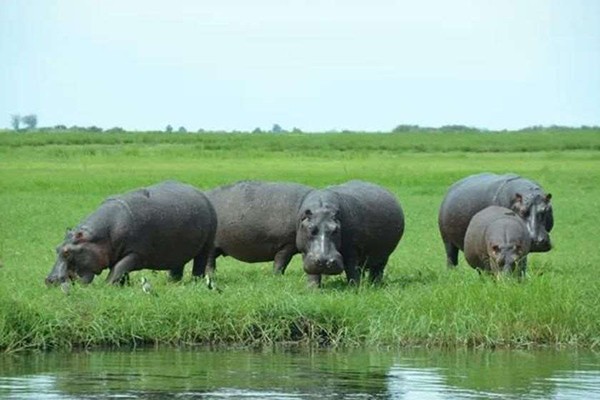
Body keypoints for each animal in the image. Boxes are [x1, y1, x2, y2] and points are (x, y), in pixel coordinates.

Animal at [45, 180, 218, 286]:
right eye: (57, 248)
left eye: (67, 252)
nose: (49, 280)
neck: (98, 237)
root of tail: (202, 194)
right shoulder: (117, 254)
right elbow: (121, 271)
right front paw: (123, 286)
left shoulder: (135, 253)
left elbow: (118, 269)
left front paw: (107, 286)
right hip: (178, 248)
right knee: (177, 266)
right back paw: (172, 283)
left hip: (206, 245)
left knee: (199, 263)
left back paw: (195, 281)